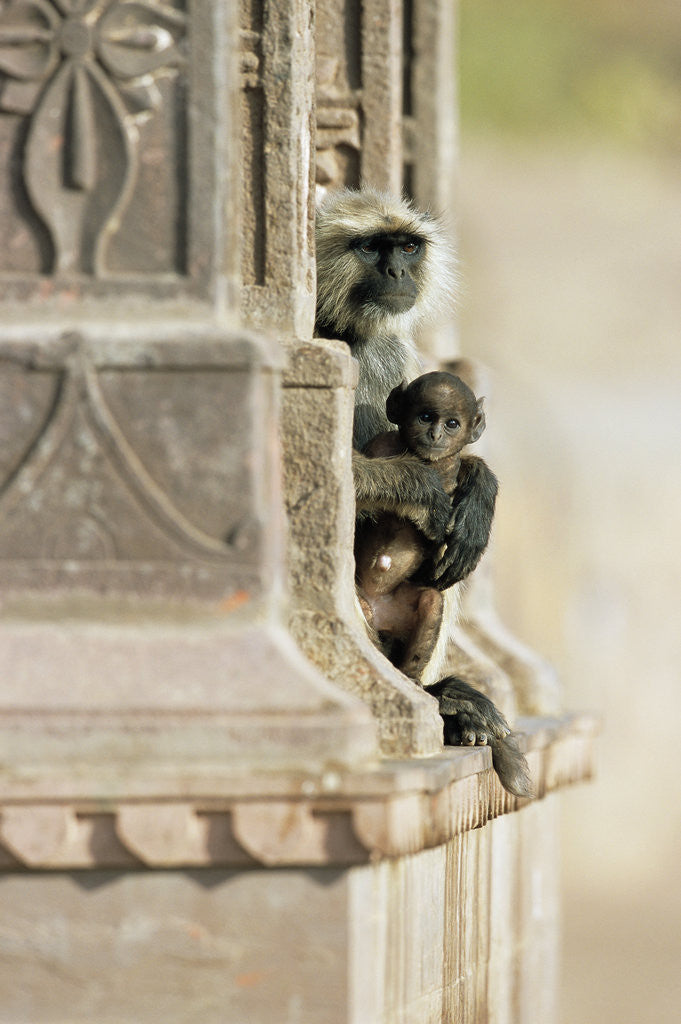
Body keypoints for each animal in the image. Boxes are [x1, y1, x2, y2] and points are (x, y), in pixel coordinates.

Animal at [355, 371, 492, 681]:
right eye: (426, 416)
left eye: (452, 423)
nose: (435, 434)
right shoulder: (381, 444)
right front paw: (422, 489)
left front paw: (478, 496)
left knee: (431, 601)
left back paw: (413, 677)